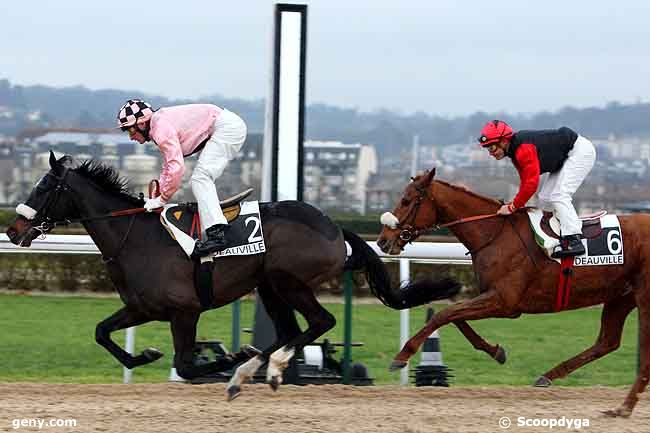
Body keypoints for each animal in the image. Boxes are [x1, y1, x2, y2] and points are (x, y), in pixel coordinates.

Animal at [374, 168, 648, 416]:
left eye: (406, 200)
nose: (383, 241)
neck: (494, 234)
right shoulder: (492, 297)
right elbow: (453, 315)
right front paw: (496, 351)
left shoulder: (504, 302)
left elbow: (445, 315)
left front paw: (402, 355)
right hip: (620, 297)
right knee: (606, 342)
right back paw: (551, 377)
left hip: (642, 296)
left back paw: (624, 406)